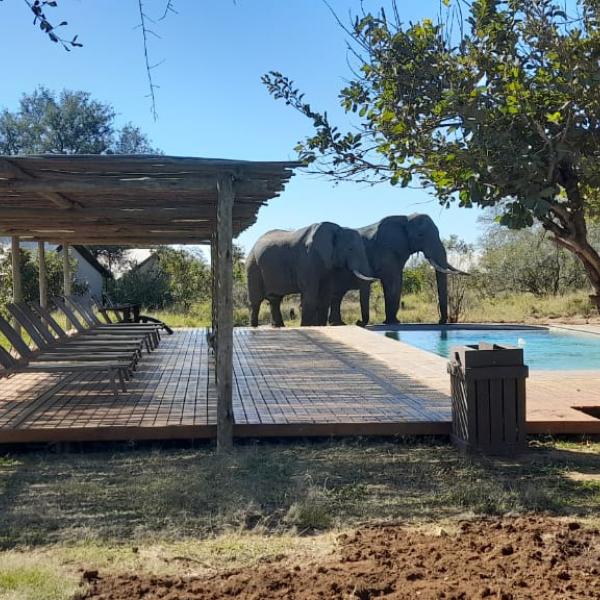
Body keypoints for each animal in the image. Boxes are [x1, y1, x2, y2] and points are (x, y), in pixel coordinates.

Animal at [328, 216, 468, 326]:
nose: (440, 322)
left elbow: (397, 281)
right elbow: (393, 281)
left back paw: (337, 323)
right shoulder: (386, 250)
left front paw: (392, 321)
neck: (406, 219)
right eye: (420, 235)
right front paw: (392, 322)